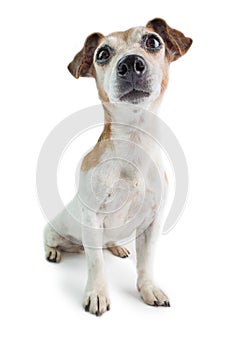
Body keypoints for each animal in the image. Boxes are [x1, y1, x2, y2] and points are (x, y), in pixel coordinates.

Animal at [44, 17, 192, 316]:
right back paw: (54, 252)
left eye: (153, 41)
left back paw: (116, 248)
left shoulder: (152, 223)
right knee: (53, 242)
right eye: (102, 53)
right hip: (53, 230)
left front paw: (149, 288)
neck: (134, 143)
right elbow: (96, 263)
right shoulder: (92, 219)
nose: (131, 63)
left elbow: (146, 262)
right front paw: (97, 293)